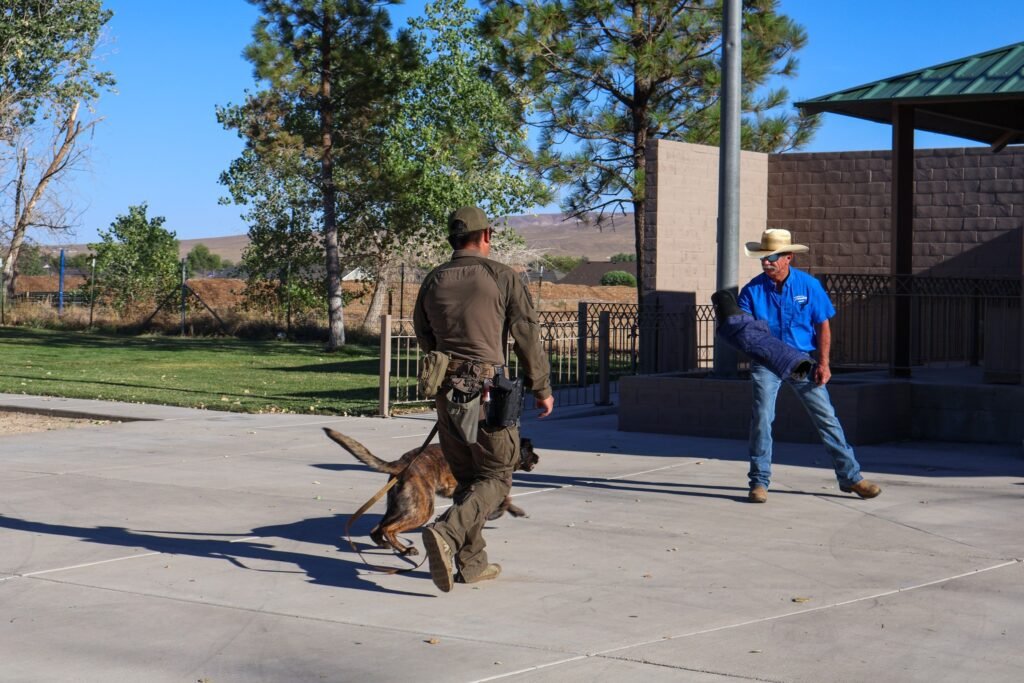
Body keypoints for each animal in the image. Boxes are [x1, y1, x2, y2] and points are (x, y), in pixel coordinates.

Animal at [323, 432, 540, 557]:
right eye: (529, 449)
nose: (538, 458)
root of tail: (401, 463)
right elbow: (503, 500)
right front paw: (506, 511)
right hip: (421, 509)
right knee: (388, 529)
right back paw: (405, 549)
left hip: (399, 507)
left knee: (377, 529)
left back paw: (387, 545)